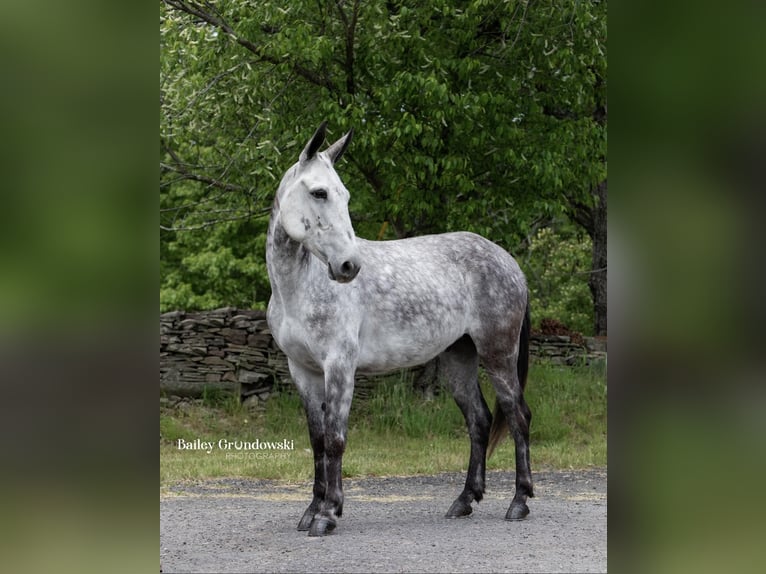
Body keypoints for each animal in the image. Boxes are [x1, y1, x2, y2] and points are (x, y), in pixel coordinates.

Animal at [266, 122, 536, 540]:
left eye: (345, 195)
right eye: (319, 192)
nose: (349, 266)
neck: (300, 287)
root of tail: (509, 262)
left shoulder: (339, 367)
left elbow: (336, 439)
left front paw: (328, 514)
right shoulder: (303, 371)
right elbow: (317, 440)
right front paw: (311, 511)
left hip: (498, 354)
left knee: (517, 416)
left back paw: (519, 502)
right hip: (459, 360)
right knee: (479, 421)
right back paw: (464, 501)